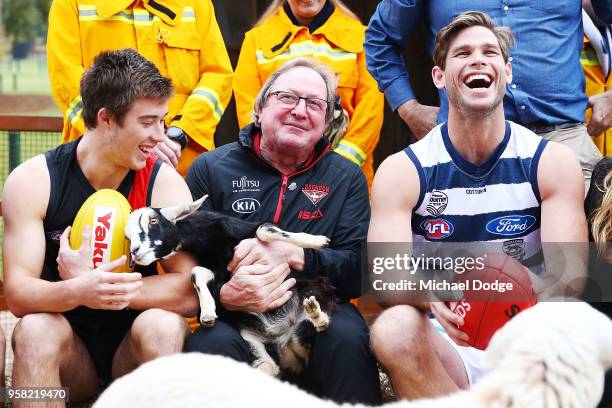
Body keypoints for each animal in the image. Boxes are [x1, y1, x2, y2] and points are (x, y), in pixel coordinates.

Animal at [124, 194, 340, 376]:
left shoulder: (249, 231)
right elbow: (197, 272)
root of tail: (284, 337)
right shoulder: (219, 270)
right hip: (253, 338)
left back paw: (314, 312)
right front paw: (208, 313)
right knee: (270, 367)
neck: (211, 240)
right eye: (127, 237)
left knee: (319, 328)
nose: (135, 251)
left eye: (153, 221)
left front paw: (318, 241)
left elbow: (264, 230)